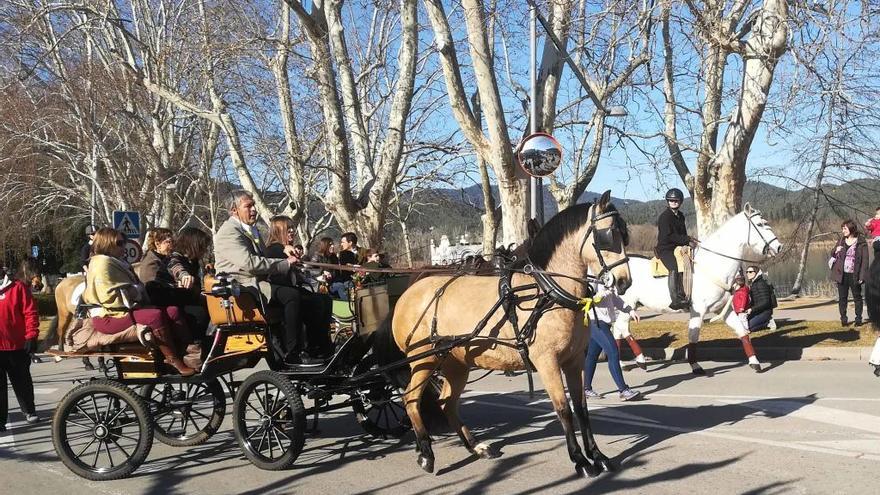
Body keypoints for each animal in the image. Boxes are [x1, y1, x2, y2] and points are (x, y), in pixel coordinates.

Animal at [612, 203, 784, 374]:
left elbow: (742, 332)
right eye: (760, 224)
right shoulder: (698, 311)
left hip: (628, 308)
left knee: (617, 332)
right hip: (628, 305)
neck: (713, 264)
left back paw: (621, 364)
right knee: (622, 328)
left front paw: (755, 363)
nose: (779, 247)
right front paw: (695, 365)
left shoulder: (724, 309)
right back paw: (640, 360)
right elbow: (693, 337)